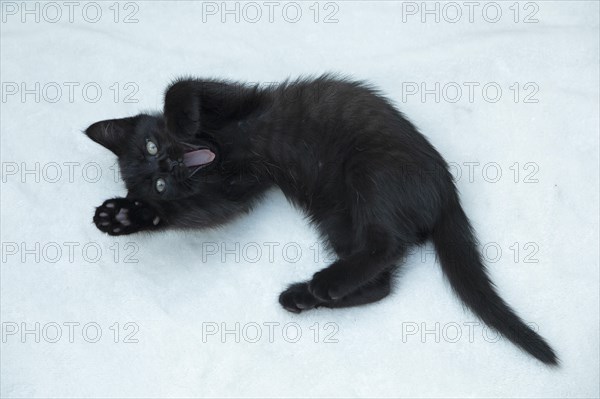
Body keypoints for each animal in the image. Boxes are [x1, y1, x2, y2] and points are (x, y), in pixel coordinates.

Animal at [84, 75, 556, 366]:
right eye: (159, 183)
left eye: (151, 145)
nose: (167, 161)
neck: (221, 149)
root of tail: (445, 191)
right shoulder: (232, 192)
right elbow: (199, 211)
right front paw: (126, 215)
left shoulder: (236, 99)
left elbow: (181, 86)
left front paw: (181, 118)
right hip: (338, 215)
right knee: (384, 273)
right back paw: (306, 294)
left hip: (372, 172)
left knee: (387, 244)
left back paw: (321, 286)